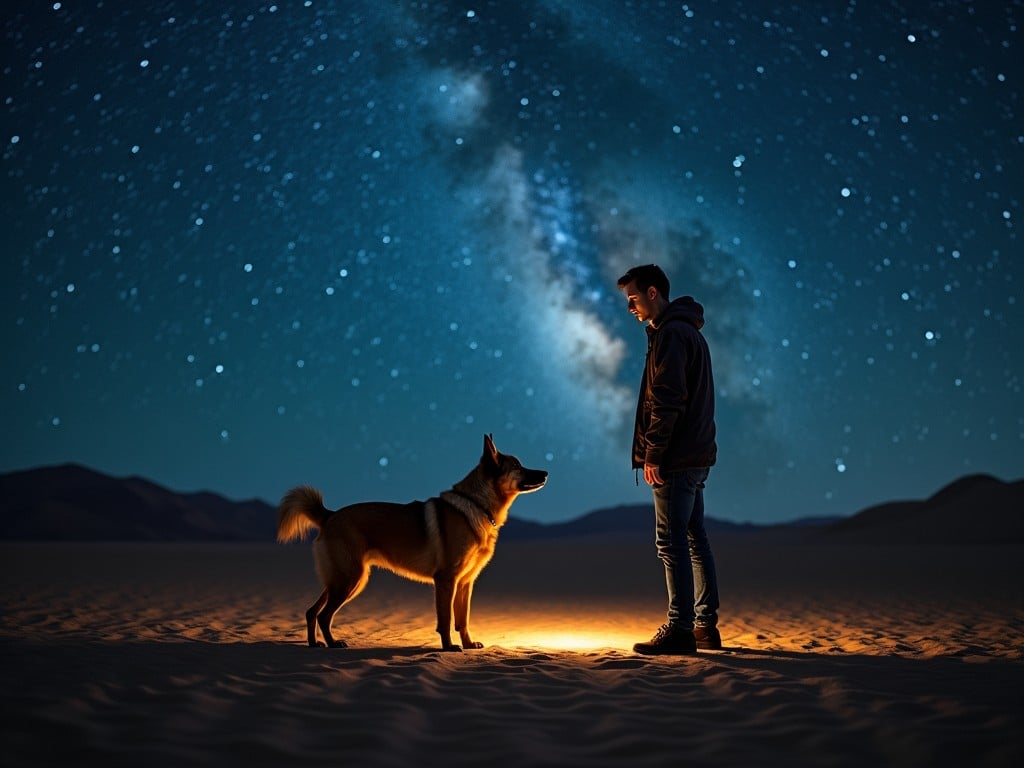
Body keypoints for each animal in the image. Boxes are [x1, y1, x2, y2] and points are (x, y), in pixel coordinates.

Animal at [272, 436, 544, 651]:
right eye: (517, 466)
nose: (546, 473)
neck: (476, 504)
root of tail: (329, 515)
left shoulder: (465, 583)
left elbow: (462, 620)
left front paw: (468, 645)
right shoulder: (446, 580)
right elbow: (445, 620)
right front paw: (449, 648)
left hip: (343, 580)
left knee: (312, 611)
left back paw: (314, 643)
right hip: (350, 579)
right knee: (324, 615)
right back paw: (332, 643)